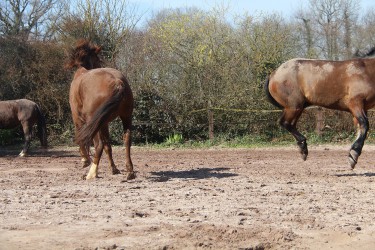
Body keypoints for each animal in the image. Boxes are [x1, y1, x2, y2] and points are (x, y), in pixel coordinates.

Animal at [65, 39, 135, 180]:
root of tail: (118, 82)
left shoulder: (78, 118)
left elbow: (81, 137)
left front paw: (85, 160)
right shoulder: (104, 122)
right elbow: (108, 145)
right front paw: (114, 169)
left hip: (93, 122)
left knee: (98, 145)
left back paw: (91, 173)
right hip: (125, 117)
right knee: (126, 139)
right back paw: (130, 171)